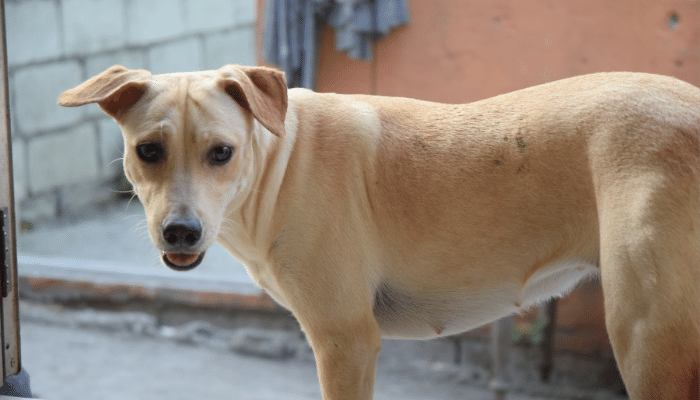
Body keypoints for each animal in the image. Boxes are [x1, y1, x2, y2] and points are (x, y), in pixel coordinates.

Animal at [57, 64, 696, 398]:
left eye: (221, 152)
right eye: (148, 151)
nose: (181, 233)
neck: (280, 161)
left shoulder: (346, 342)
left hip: (647, 340)